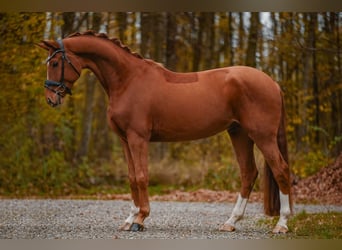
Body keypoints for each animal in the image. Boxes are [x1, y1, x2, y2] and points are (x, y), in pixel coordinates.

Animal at [39, 30, 292, 233]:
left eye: (55, 63)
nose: (50, 99)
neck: (128, 79)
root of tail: (272, 83)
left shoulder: (138, 138)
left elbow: (142, 177)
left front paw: (140, 220)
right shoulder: (125, 140)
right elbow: (132, 177)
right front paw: (130, 218)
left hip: (262, 136)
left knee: (280, 170)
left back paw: (282, 224)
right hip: (239, 134)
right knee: (249, 173)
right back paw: (231, 222)